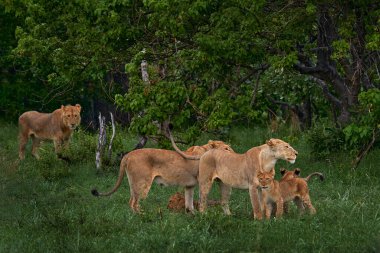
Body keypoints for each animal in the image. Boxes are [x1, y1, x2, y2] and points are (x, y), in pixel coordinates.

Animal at [91, 138, 233, 213]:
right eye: (226, 148)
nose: (234, 152)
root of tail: (127, 155)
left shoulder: (189, 185)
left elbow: (189, 202)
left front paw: (192, 215)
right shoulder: (204, 180)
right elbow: (202, 198)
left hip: (133, 183)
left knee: (131, 201)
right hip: (143, 183)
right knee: (134, 203)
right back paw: (142, 218)